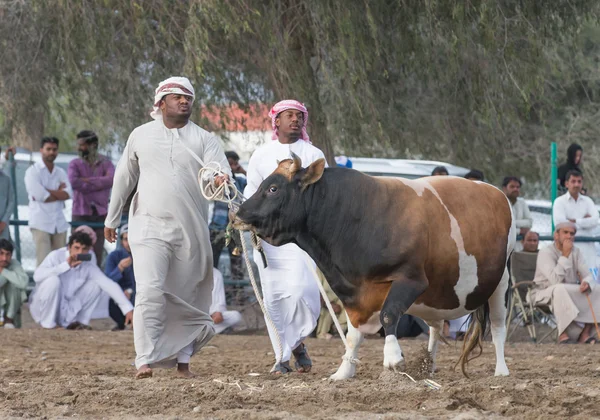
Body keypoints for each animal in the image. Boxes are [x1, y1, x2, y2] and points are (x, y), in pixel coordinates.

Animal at [234, 155, 516, 380]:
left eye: (273, 188)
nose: (238, 214)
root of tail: (496, 193)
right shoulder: (353, 292)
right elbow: (352, 335)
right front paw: (344, 371)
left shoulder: (411, 280)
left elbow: (388, 315)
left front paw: (392, 357)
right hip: (438, 293)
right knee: (436, 327)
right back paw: (428, 365)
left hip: (501, 282)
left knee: (499, 327)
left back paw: (501, 371)